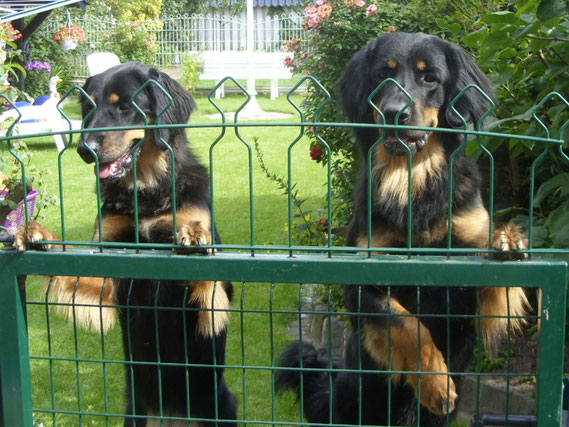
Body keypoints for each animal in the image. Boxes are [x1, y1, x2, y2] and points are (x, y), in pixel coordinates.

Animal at [16, 61, 237, 426]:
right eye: (88, 107)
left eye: (123, 106)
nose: (85, 150)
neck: (147, 192)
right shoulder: (107, 271)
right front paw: (36, 234)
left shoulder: (216, 294)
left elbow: (207, 274)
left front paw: (194, 238)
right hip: (134, 412)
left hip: (221, 405)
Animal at [278, 31, 524, 426]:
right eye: (382, 75)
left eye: (430, 78)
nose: (394, 112)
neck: (411, 176)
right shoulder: (362, 284)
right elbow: (407, 324)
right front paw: (435, 383)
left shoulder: (471, 287)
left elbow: (499, 286)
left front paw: (509, 241)